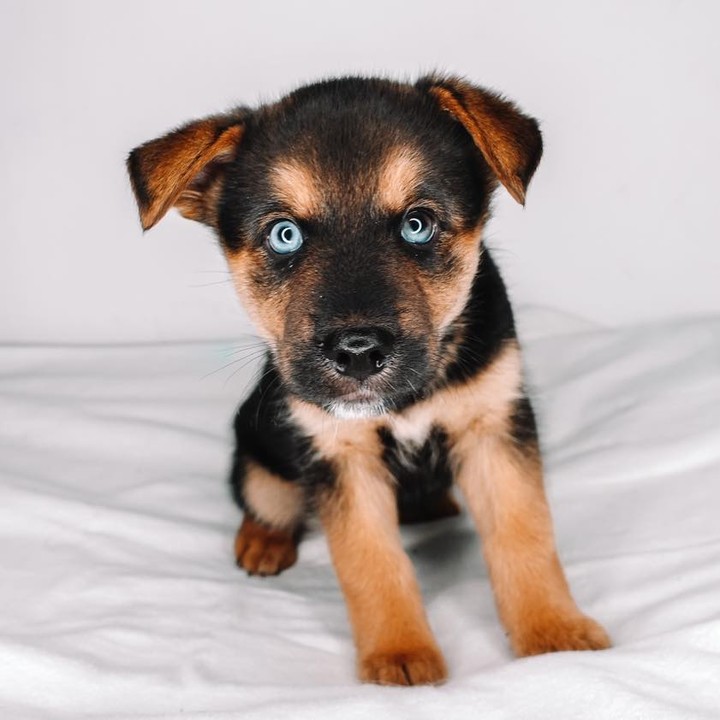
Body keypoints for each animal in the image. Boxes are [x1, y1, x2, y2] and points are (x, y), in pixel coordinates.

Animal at [126, 74, 612, 688]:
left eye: (417, 225)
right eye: (284, 235)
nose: (358, 353)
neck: (407, 400)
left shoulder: (495, 429)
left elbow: (526, 536)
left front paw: (553, 634)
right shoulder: (340, 456)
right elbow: (371, 562)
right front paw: (400, 654)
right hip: (261, 460)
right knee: (262, 500)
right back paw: (262, 542)